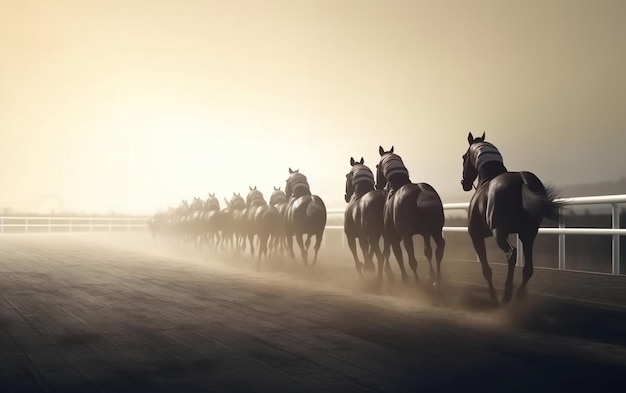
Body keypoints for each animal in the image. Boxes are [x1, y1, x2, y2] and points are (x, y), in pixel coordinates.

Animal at [372, 145, 446, 284]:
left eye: (376, 166)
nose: (376, 185)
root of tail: (421, 192)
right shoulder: (425, 233)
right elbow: (427, 251)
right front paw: (431, 274)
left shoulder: (394, 235)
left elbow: (399, 255)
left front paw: (405, 278)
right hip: (435, 230)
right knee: (439, 248)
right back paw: (437, 278)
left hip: (407, 235)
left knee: (411, 258)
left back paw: (417, 280)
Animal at [460, 132, 560, 304]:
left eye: (464, 157)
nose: (463, 183)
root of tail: (522, 179)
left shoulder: (476, 236)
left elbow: (486, 269)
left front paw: (493, 296)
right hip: (528, 234)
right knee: (528, 268)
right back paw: (519, 295)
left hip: (499, 233)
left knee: (511, 253)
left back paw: (507, 293)